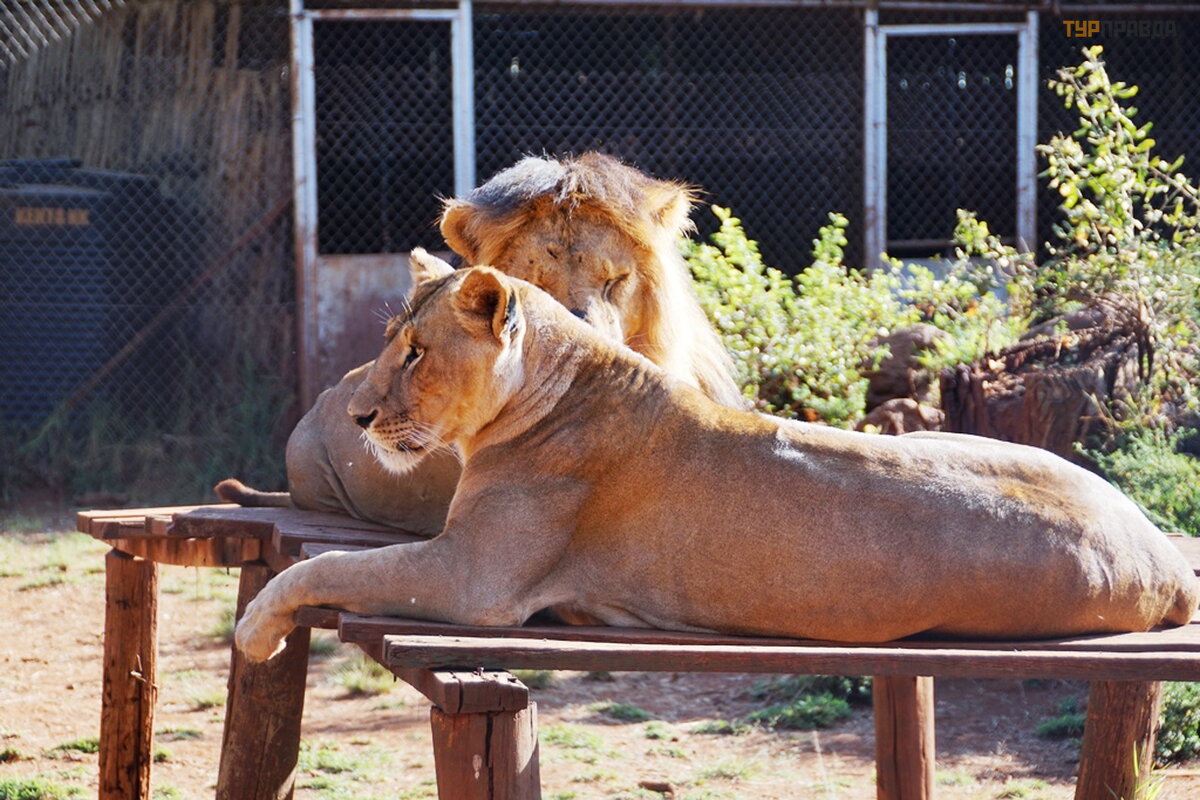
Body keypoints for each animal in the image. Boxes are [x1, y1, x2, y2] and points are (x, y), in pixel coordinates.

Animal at [234, 256, 1199, 662]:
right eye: (389, 343)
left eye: (416, 353)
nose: (355, 415)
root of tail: (1163, 553)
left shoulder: (474, 580)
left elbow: (327, 568)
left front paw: (255, 631)